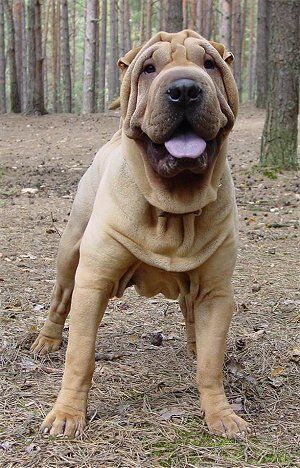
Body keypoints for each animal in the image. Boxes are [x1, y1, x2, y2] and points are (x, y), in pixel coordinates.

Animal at [31, 29, 251, 438]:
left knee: (190, 313)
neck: (172, 207)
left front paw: (221, 415)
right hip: (69, 254)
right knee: (60, 298)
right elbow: (80, 356)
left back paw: (194, 343)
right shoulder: (93, 282)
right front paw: (67, 414)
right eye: (149, 68)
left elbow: (210, 364)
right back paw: (46, 341)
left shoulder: (216, 293)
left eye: (209, 64)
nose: (185, 89)